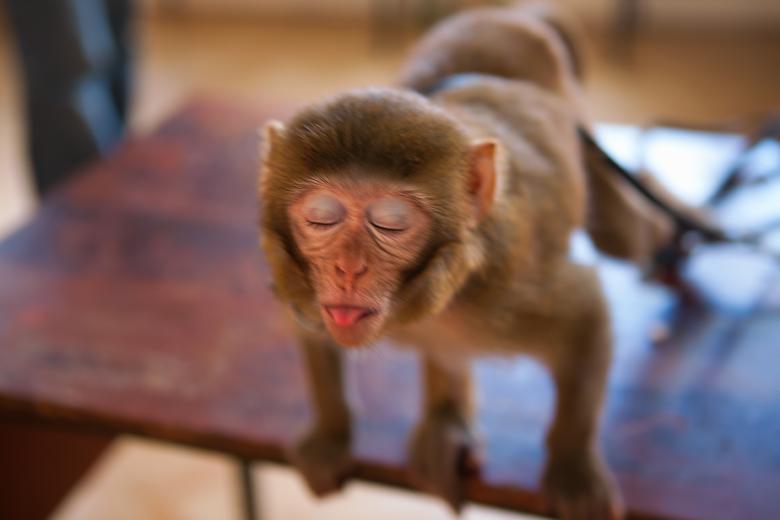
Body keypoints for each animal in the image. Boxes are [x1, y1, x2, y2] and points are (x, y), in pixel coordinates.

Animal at [257, 1, 679, 518]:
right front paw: (329, 434)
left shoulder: (508, 295)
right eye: (321, 219)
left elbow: (586, 314)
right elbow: (309, 330)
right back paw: (446, 421)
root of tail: (513, 15)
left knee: (626, 233)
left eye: (391, 225)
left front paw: (573, 466)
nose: (348, 268)